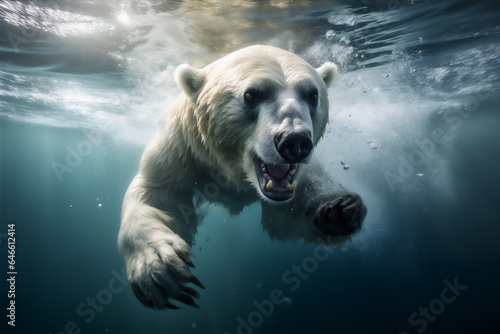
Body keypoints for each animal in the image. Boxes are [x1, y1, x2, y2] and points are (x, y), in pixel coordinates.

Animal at [117, 45, 368, 310]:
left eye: (312, 95)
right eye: (250, 95)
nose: (295, 141)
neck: (233, 170)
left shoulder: (297, 178)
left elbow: (292, 211)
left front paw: (339, 210)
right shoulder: (184, 147)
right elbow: (156, 192)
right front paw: (158, 269)